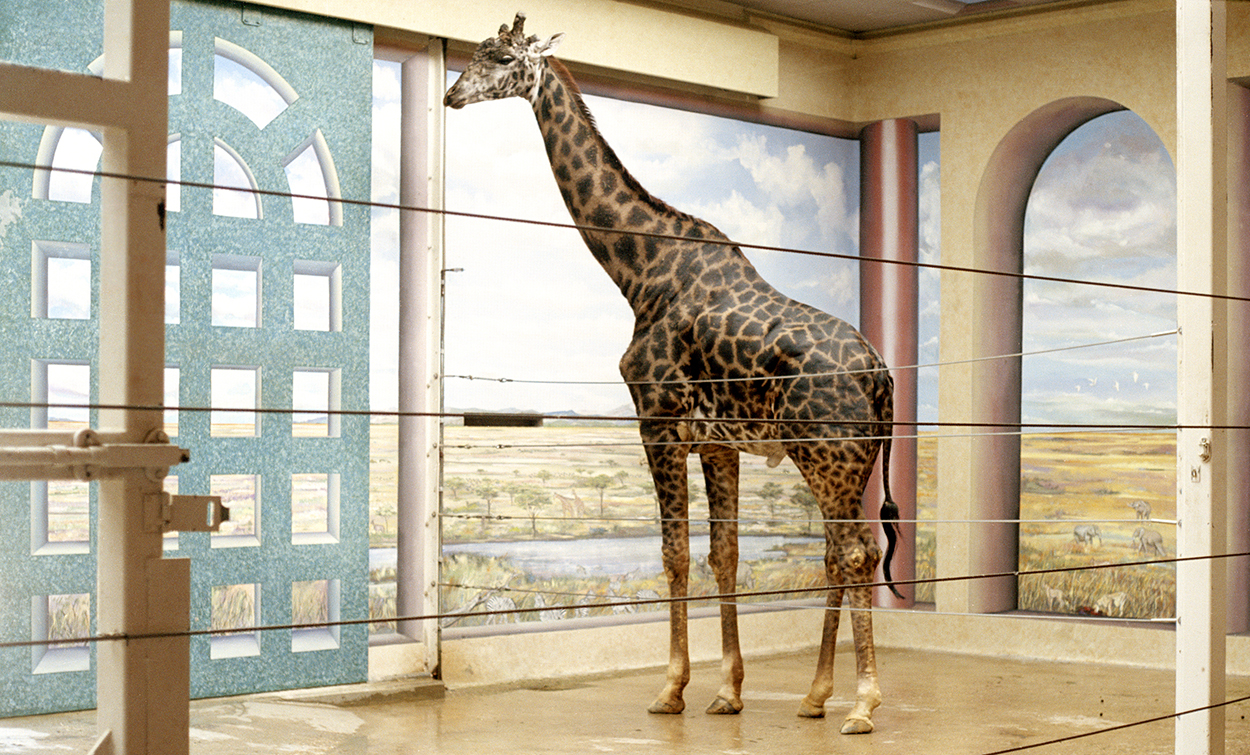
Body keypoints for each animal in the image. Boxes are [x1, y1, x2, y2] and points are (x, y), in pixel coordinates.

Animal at [445, 13, 902, 733]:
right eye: (473, 53)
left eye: (500, 57)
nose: (452, 96)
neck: (640, 272)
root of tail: (881, 375)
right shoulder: (717, 443)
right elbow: (724, 554)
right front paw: (730, 690)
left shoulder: (657, 421)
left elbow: (674, 553)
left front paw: (671, 688)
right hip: (848, 462)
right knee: (843, 551)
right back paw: (814, 695)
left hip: (827, 455)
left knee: (854, 551)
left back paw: (861, 703)